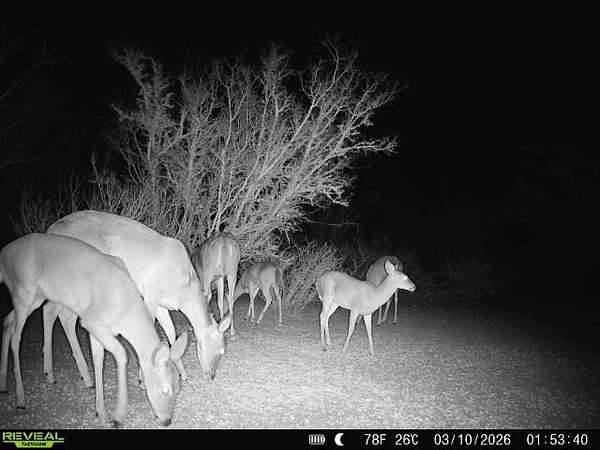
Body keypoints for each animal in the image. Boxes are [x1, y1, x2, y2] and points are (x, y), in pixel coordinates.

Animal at [0, 233, 187, 426]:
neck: (126, 310)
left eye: (179, 387)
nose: (167, 420)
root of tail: (4, 254)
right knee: (16, 337)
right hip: (23, 292)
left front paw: (101, 412)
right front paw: (118, 415)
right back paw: (21, 399)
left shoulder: (97, 329)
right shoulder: (92, 322)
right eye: (165, 389)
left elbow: (98, 360)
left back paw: (4, 385)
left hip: (34, 298)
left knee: (8, 321)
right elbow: (121, 354)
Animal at [43, 210, 231, 384]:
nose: (212, 375)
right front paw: (142, 378)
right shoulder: (151, 293)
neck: (184, 288)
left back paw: (83, 377)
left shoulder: (161, 303)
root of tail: (50, 229)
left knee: (60, 314)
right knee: (52, 311)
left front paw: (182, 373)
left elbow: (171, 331)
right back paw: (52, 374)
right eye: (221, 351)